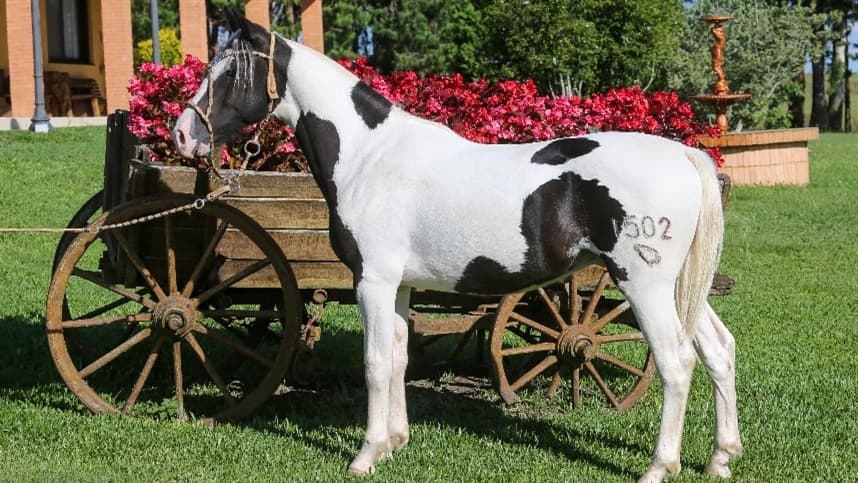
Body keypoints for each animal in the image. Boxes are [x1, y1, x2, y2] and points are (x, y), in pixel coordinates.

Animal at [172, 11, 741, 482]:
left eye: (228, 72)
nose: (181, 135)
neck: (369, 156)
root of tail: (683, 154)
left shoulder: (372, 281)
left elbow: (374, 362)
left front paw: (365, 455)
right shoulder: (398, 285)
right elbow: (398, 357)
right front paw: (394, 443)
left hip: (643, 285)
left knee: (675, 362)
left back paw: (659, 467)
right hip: (680, 288)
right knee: (717, 349)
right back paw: (720, 458)